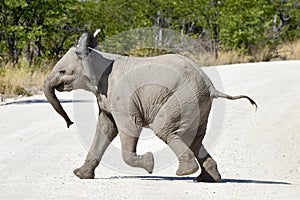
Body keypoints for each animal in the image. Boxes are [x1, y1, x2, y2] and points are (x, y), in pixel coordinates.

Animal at [43, 30, 256, 182]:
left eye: (62, 71)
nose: (70, 123)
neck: (97, 56)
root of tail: (210, 85)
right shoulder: (105, 96)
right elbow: (106, 128)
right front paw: (80, 175)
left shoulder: (122, 98)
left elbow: (128, 127)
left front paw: (150, 164)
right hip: (197, 103)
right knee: (194, 138)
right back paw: (206, 178)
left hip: (181, 98)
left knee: (165, 129)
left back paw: (185, 172)